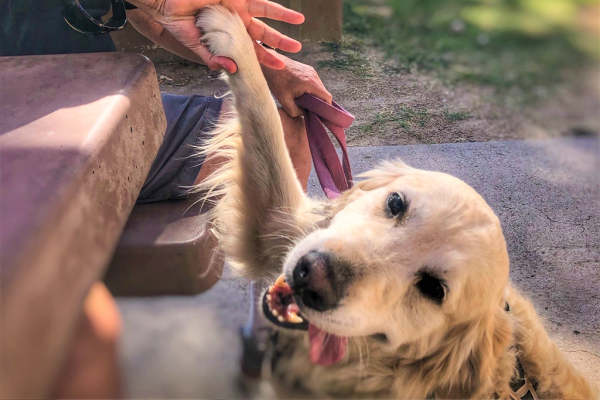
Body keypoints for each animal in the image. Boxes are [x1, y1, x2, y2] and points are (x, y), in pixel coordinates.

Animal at [196, 7, 596, 400]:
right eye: (395, 202)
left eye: (433, 289)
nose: (311, 277)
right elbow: (265, 114)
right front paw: (235, 31)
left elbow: (269, 126)